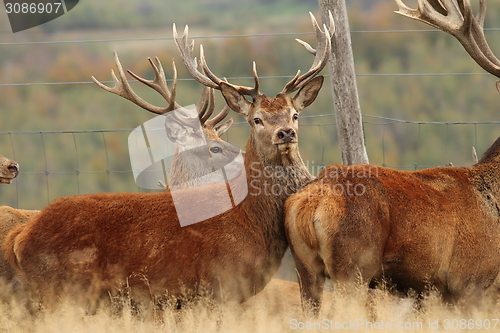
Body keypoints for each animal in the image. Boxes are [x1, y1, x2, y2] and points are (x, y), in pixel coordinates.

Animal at [3, 13, 334, 308]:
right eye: (257, 119)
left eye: (295, 114)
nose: (286, 133)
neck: (250, 219)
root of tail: (19, 239)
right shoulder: (218, 285)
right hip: (62, 291)